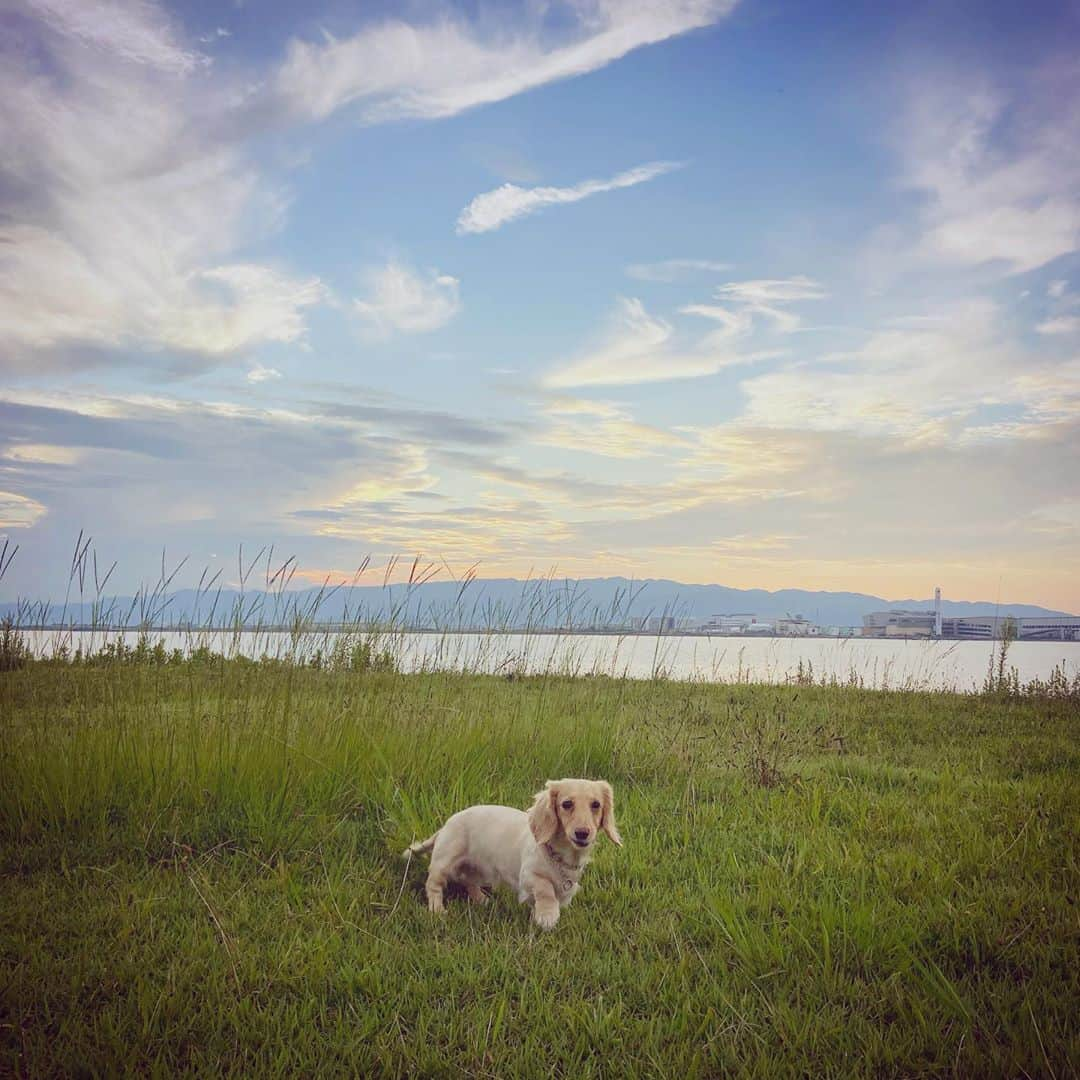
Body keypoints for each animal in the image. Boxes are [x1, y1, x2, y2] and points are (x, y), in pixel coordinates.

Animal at [401, 777, 622, 928]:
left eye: (596, 805)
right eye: (566, 804)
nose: (582, 833)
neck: (559, 855)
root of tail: (446, 824)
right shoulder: (528, 877)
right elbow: (546, 889)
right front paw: (548, 915)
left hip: (479, 869)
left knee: (468, 881)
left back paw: (482, 900)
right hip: (445, 862)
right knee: (434, 885)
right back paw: (437, 910)